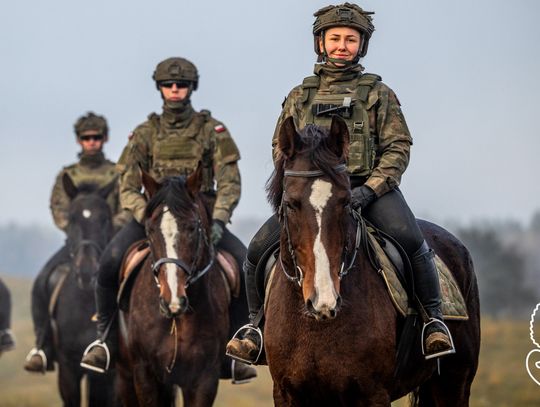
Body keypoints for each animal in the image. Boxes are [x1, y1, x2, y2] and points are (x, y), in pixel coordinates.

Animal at [116, 167, 230, 407]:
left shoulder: (204, 379)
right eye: (149, 230)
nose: (173, 301)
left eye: (193, 227)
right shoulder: (144, 374)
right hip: (125, 376)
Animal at [264, 115, 478, 407]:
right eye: (290, 204)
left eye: (345, 202)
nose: (323, 299)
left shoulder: (372, 393)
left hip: (454, 382)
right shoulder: (287, 394)